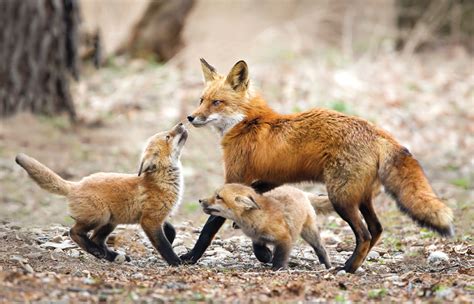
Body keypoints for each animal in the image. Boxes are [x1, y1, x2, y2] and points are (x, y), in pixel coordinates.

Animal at [15, 122, 188, 264]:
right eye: (168, 136)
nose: (181, 123)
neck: (163, 181)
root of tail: (75, 185)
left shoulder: (158, 217)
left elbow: (171, 232)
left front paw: (171, 243)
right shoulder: (149, 220)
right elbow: (163, 245)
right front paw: (176, 261)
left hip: (111, 221)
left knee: (96, 239)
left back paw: (109, 255)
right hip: (101, 217)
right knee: (74, 232)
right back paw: (97, 251)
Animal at [200, 184, 334, 270]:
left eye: (218, 197)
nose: (200, 200)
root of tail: (301, 192)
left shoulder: (285, 238)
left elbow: (280, 256)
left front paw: (278, 268)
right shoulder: (257, 238)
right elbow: (258, 251)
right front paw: (266, 256)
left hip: (308, 232)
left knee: (320, 249)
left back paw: (327, 266)